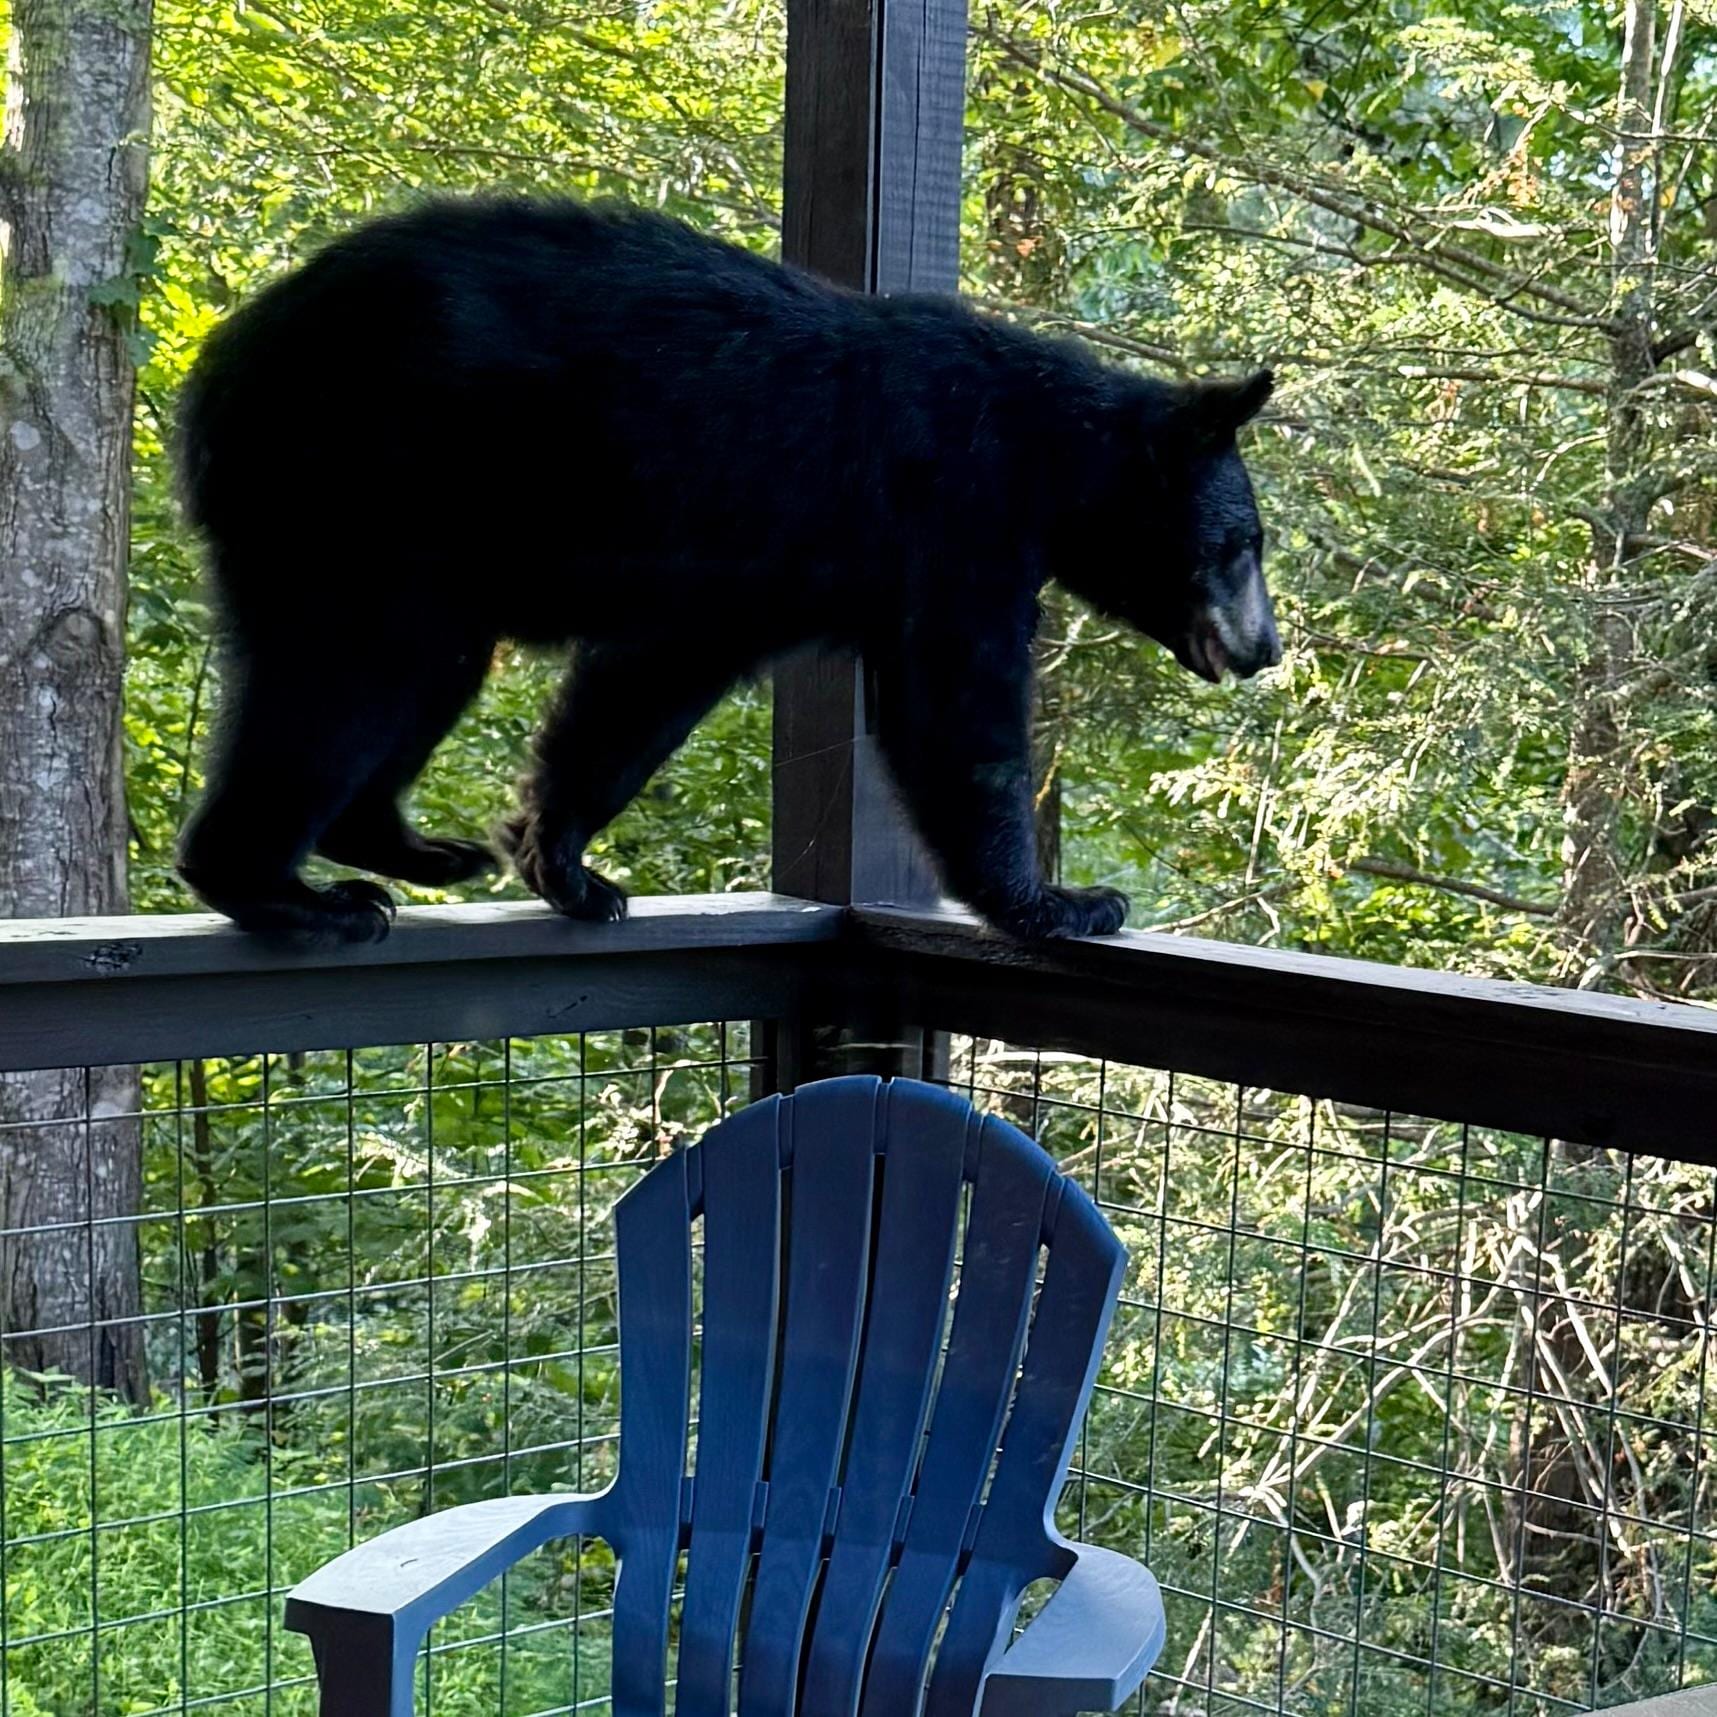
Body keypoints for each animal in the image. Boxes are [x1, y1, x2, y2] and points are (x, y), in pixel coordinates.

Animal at [174, 195, 1280, 943]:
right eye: (1244, 544)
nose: (1267, 648)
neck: (1048, 454)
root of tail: (226, 357)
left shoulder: (751, 575)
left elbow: (644, 686)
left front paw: (563, 860)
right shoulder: (952, 520)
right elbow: (957, 715)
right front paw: (1060, 899)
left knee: (422, 670)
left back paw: (407, 845)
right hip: (361, 485)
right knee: (344, 679)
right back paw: (285, 892)